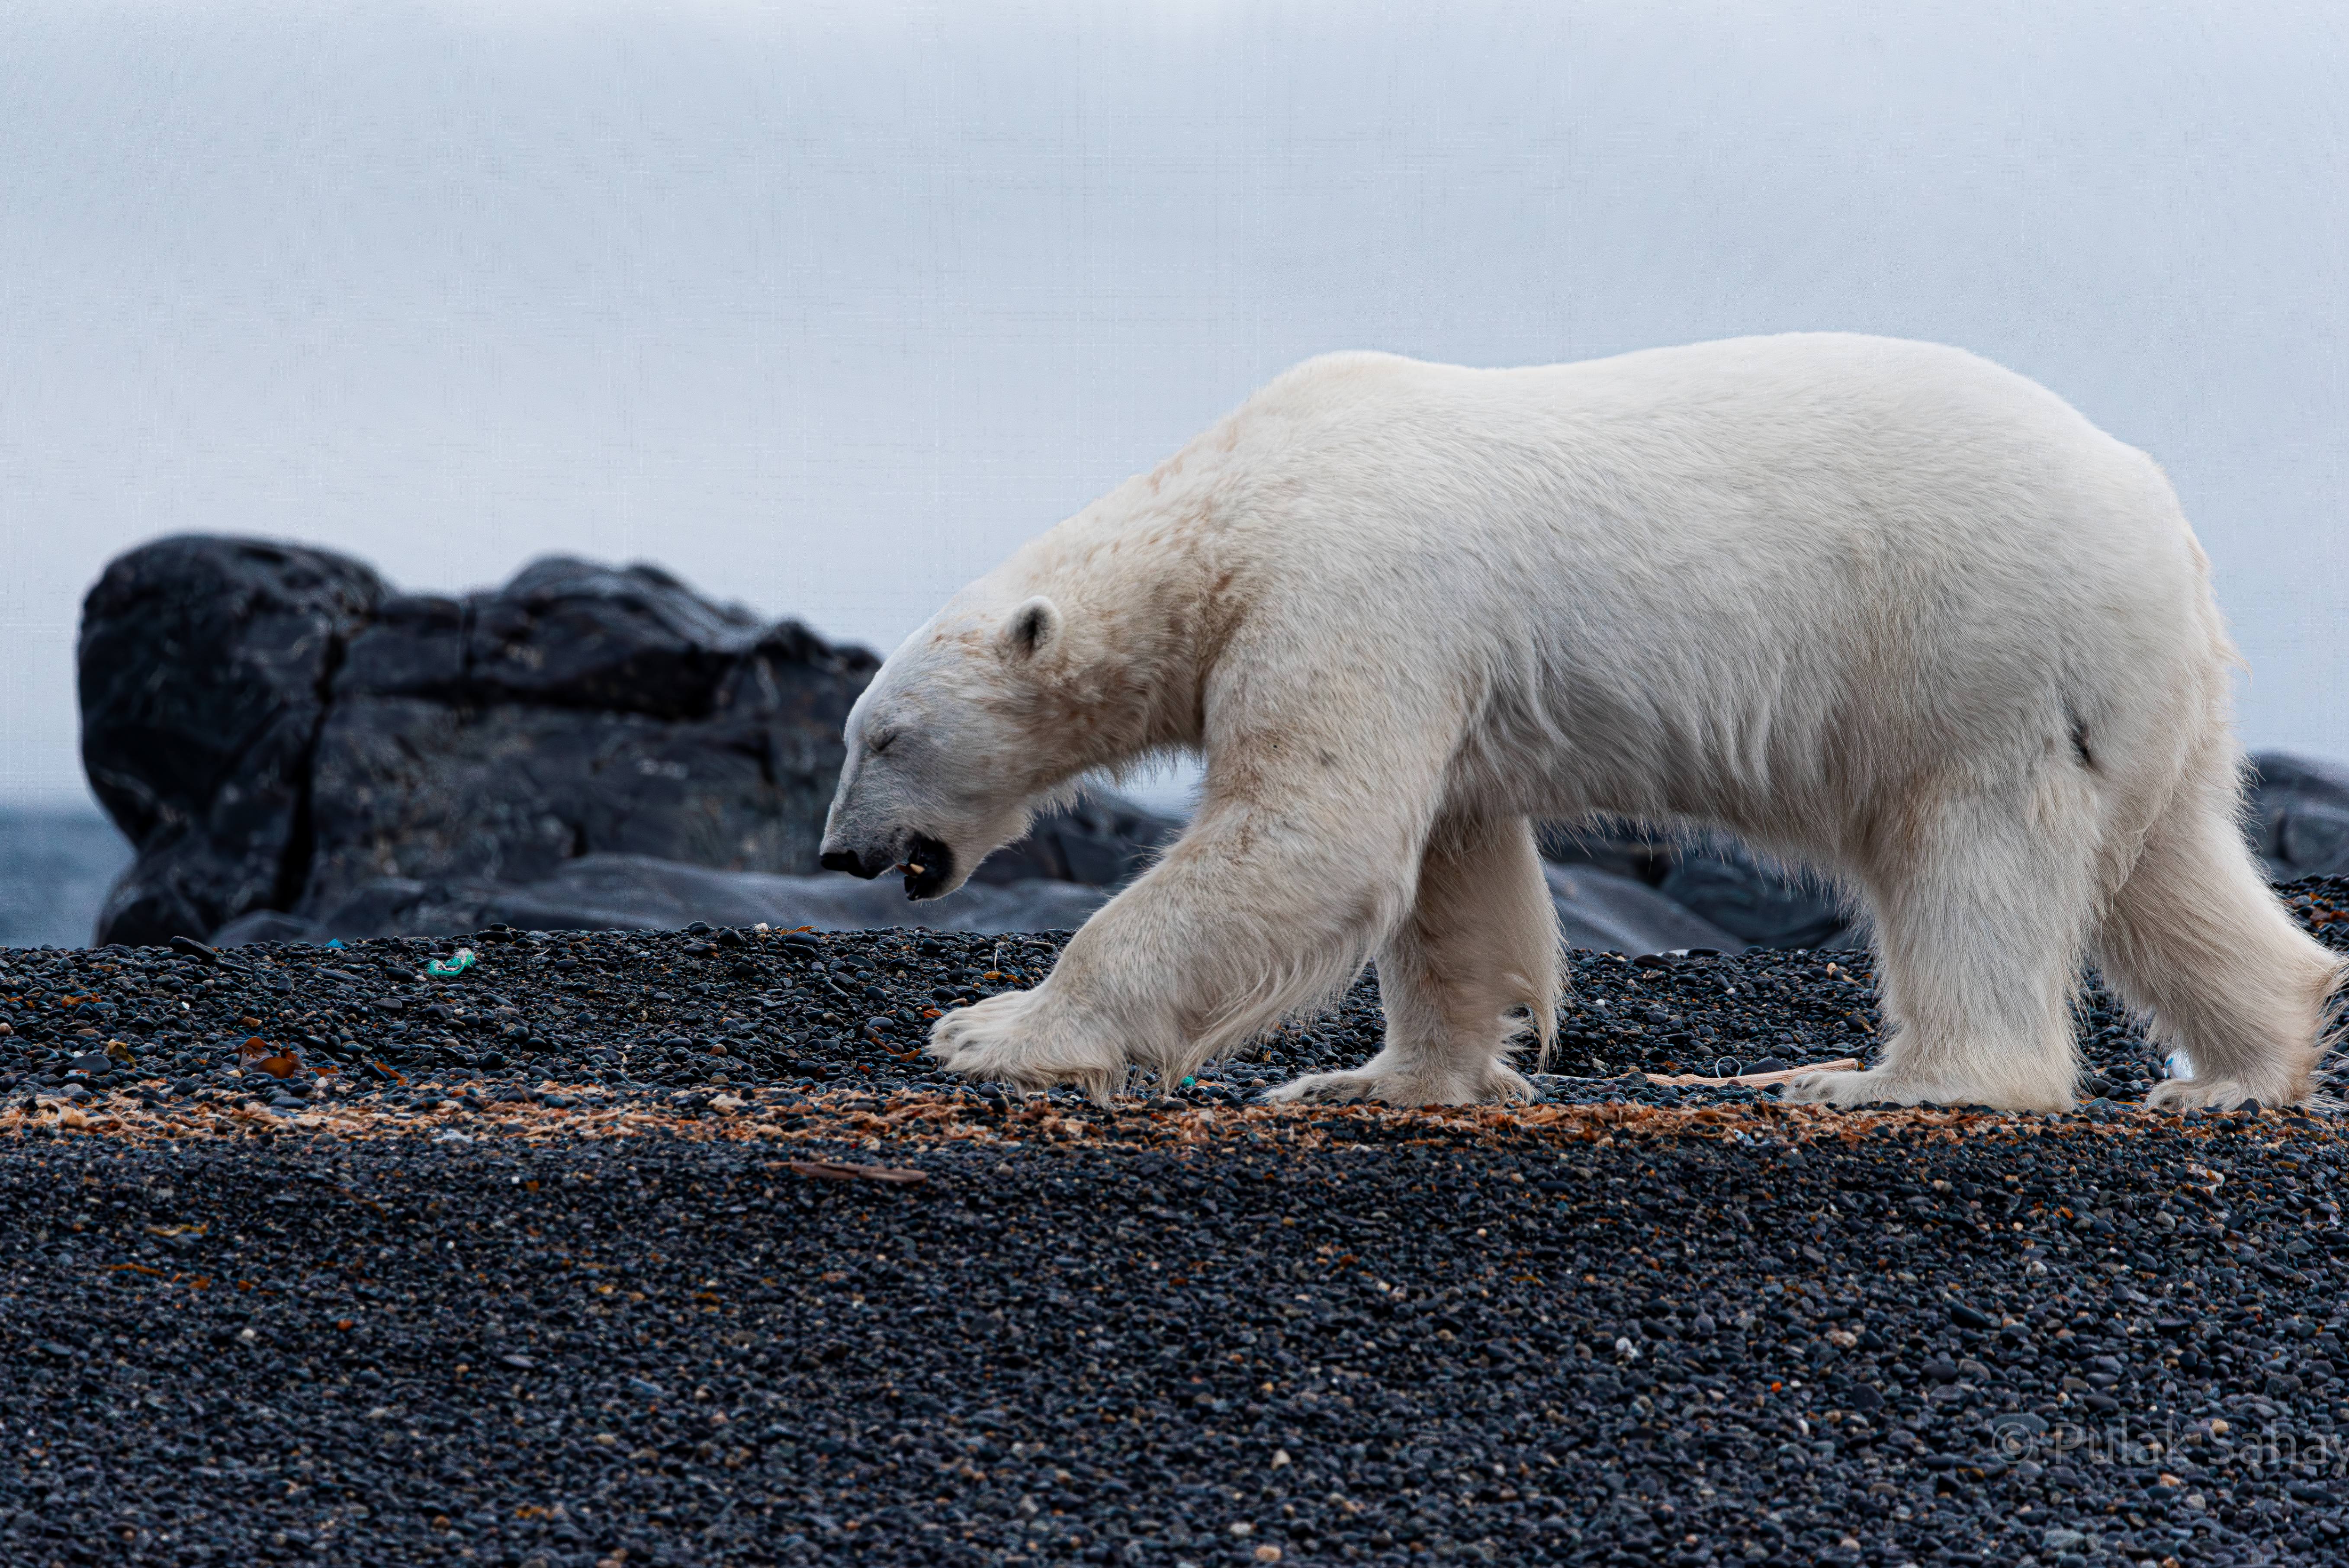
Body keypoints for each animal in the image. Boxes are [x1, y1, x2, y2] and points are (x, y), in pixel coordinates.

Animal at [819, 333, 2344, 1112]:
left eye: (881, 736)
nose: (841, 853)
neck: (1234, 502)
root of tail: (2164, 524)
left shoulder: (1347, 586)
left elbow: (1308, 835)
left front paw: (994, 1030)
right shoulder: (1436, 666)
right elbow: (1448, 872)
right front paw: (1388, 1079)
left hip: (1978, 650)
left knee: (1972, 860)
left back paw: (1890, 1080)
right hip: (2132, 692)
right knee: (2166, 868)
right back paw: (2240, 1066)